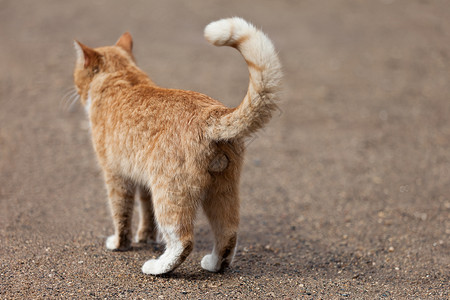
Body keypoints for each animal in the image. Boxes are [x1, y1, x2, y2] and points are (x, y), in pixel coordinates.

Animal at [73, 17, 282, 276]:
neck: (123, 78)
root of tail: (211, 114)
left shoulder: (116, 176)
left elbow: (121, 214)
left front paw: (120, 244)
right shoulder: (143, 181)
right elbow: (146, 215)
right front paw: (145, 238)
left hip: (169, 192)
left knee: (182, 240)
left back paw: (158, 267)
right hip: (222, 191)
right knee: (228, 233)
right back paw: (214, 264)